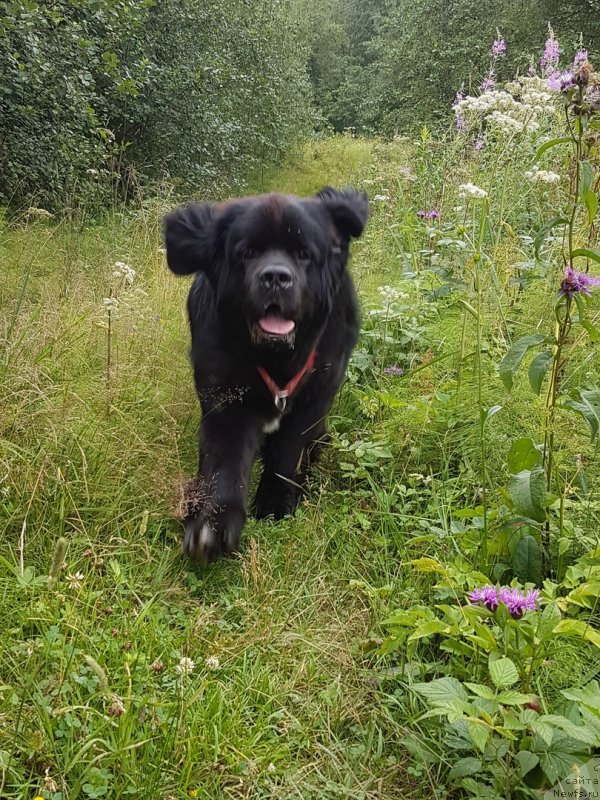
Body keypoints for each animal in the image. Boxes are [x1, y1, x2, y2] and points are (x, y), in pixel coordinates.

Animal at [165, 187, 370, 564]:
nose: (276, 277)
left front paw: (275, 504)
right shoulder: (227, 400)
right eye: (248, 253)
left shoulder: (313, 400)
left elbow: (286, 453)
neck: (277, 360)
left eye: (303, 254)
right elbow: (223, 463)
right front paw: (212, 523)